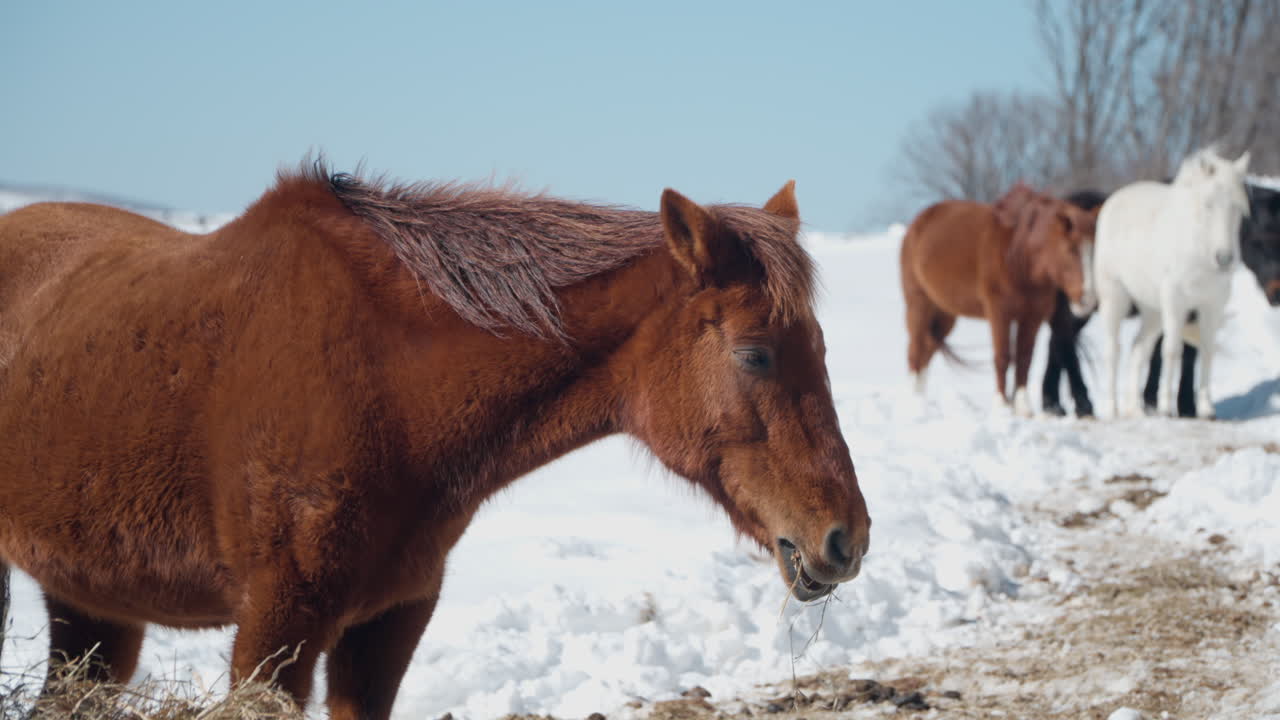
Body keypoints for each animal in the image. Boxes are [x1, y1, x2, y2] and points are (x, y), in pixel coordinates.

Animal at [0, 161, 871, 720]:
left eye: (825, 349)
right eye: (755, 354)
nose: (847, 538)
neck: (385, 384)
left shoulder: (390, 623)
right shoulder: (276, 627)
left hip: (92, 605)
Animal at [900, 183, 1098, 415]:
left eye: (1096, 250)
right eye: (1070, 250)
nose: (1088, 299)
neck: (1019, 257)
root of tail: (917, 223)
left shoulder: (1032, 316)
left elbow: (1024, 357)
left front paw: (1022, 405)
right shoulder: (999, 312)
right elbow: (1003, 356)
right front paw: (1002, 404)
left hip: (946, 313)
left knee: (928, 349)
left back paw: (920, 399)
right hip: (919, 304)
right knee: (915, 351)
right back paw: (913, 399)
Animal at [1094, 146, 1251, 418]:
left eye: (1237, 208)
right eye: (1208, 205)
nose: (1224, 258)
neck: (1199, 250)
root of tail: (1115, 199)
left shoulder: (1212, 305)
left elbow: (1207, 350)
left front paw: (1206, 409)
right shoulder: (1175, 301)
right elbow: (1172, 350)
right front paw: (1167, 407)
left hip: (1153, 311)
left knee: (1139, 349)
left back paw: (1135, 409)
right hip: (1115, 297)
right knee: (1113, 350)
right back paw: (1113, 408)